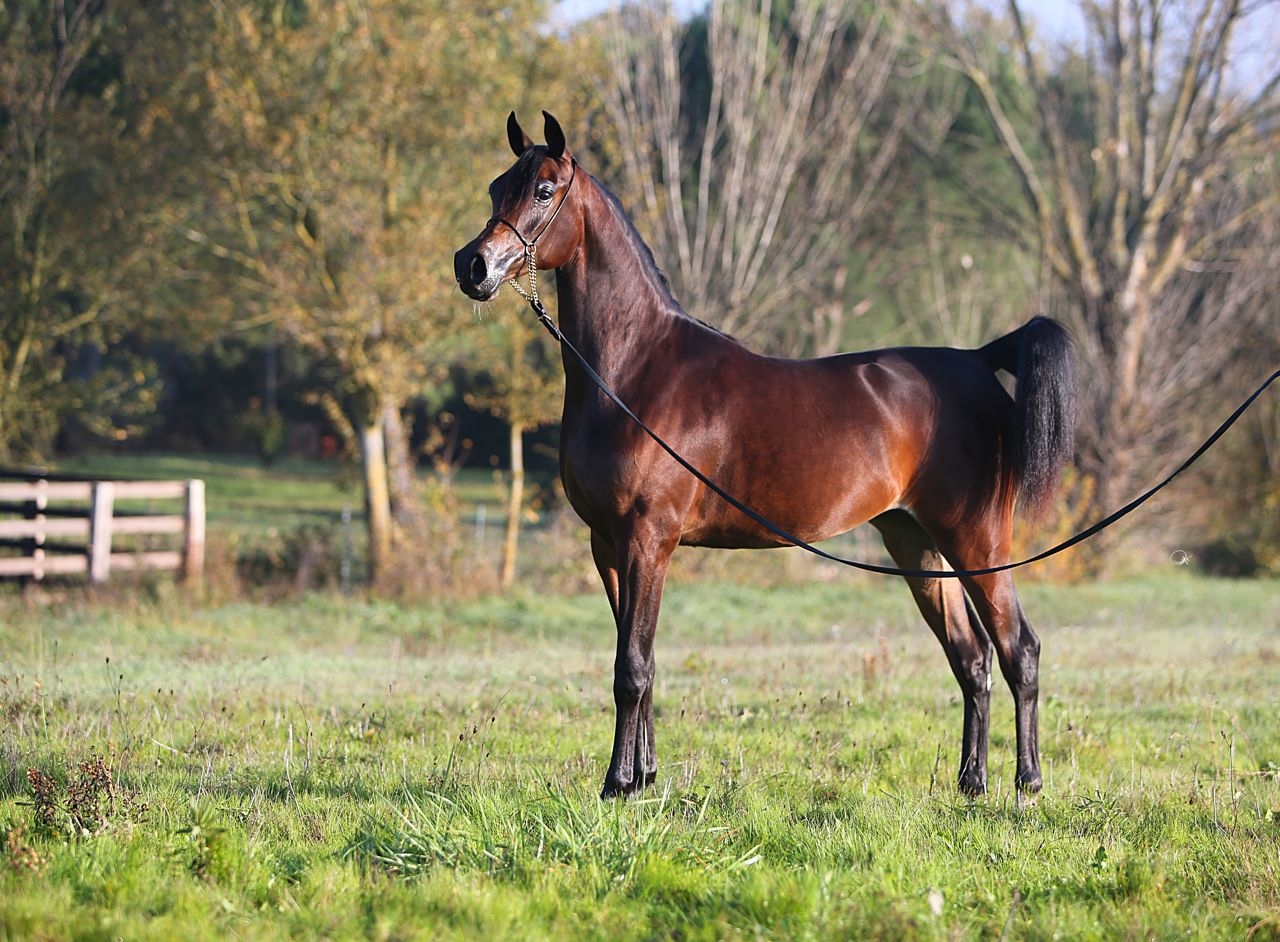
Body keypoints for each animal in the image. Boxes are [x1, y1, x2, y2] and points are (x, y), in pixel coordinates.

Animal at [454, 111, 1077, 799]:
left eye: (543, 190)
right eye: (495, 188)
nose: (472, 266)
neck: (633, 369)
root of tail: (976, 361)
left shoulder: (648, 537)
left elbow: (632, 667)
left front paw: (618, 784)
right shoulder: (608, 543)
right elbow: (642, 659)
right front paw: (645, 775)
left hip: (977, 542)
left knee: (1019, 649)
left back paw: (1027, 783)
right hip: (917, 545)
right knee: (971, 659)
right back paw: (971, 782)